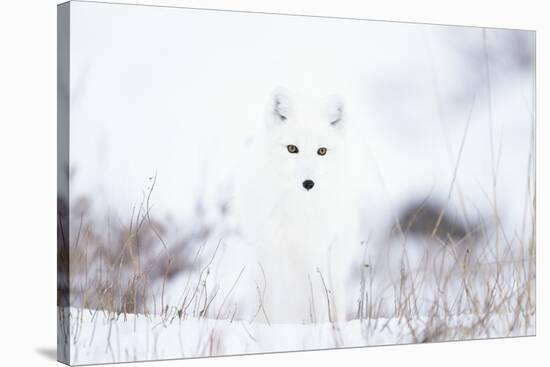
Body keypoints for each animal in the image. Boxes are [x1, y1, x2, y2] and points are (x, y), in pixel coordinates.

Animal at [234, 89, 360, 324]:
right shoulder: (274, 251)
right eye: (292, 149)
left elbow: (319, 299)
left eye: (322, 151)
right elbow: (274, 300)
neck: (300, 210)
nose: (308, 183)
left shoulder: (317, 252)